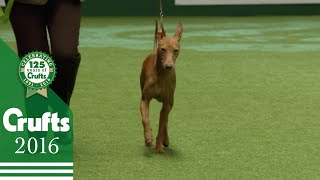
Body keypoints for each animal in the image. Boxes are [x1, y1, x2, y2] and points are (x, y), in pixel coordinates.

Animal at [139, 21, 182, 153]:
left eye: (176, 50)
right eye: (163, 49)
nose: (169, 66)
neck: (161, 75)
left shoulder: (167, 103)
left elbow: (162, 126)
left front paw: (159, 147)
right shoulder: (144, 100)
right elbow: (145, 119)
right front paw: (148, 137)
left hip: (171, 102)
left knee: (165, 120)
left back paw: (165, 140)